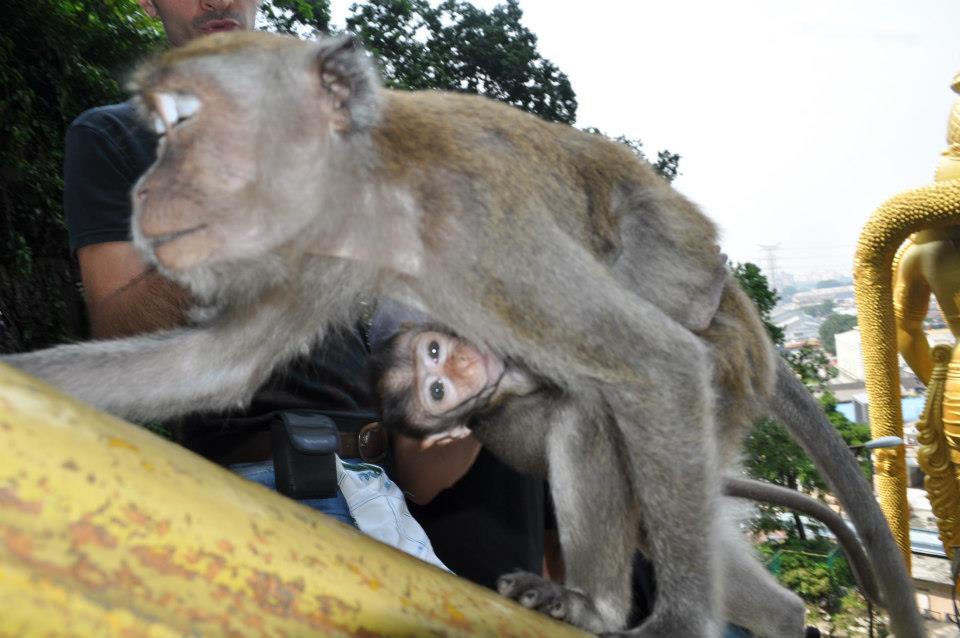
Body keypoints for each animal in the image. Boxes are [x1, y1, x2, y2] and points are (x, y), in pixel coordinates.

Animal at [370, 330, 884, 636]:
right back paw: (594, 608)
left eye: (434, 352)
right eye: (436, 392)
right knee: (589, 424)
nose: (459, 366)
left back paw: (783, 616)